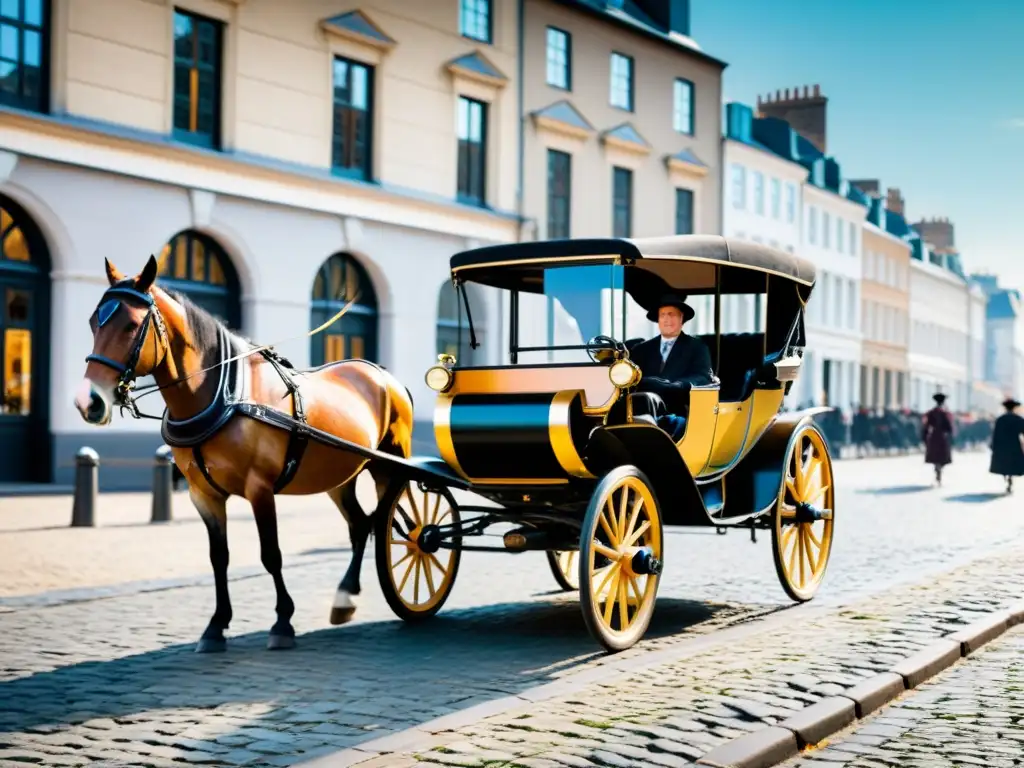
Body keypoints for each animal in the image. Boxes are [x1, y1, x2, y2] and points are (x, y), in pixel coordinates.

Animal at [74, 256, 415, 651]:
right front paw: (216, 625)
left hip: (387, 468)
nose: (88, 401)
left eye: (131, 325)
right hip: (340, 473)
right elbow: (218, 557)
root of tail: (383, 374)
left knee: (390, 524)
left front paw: (282, 621)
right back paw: (344, 598)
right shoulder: (203, 494)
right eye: (93, 321)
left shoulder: (260, 489)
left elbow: (271, 554)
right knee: (361, 526)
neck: (225, 396)